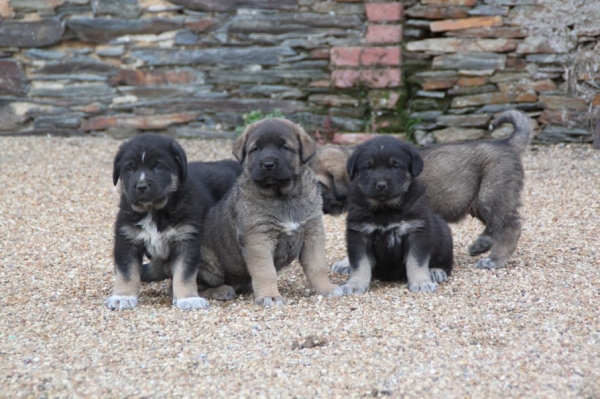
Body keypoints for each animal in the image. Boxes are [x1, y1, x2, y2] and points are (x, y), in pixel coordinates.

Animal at [105, 134, 241, 312]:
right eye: (129, 169)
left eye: (158, 167)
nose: (141, 186)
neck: (154, 211)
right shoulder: (126, 237)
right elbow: (126, 271)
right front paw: (123, 296)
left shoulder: (187, 238)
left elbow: (185, 272)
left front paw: (188, 298)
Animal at [197, 117, 342, 308]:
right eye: (256, 149)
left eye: (284, 147)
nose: (268, 164)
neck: (282, 196)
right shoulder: (258, 237)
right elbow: (266, 271)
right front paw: (270, 296)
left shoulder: (312, 231)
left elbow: (317, 265)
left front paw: (326, 288)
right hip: (211, 266)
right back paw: (221, 290)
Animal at [314, 111, 536, 270]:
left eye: (316, 184)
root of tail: (506, 144)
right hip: (480, 200)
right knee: (495, 224)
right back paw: (481, 245)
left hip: (492, 194)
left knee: (509, 227)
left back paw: (495, 259)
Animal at [340, 136, 452, 296]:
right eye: (369, 167)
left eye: (395, 166)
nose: (381, 185)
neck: (386, 209)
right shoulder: (359, 233)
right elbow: (360, 263)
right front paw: (355, 284)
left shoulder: (416, 231)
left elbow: (416, 261)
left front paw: (421, 283)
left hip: (444, 236)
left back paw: (435, 270)